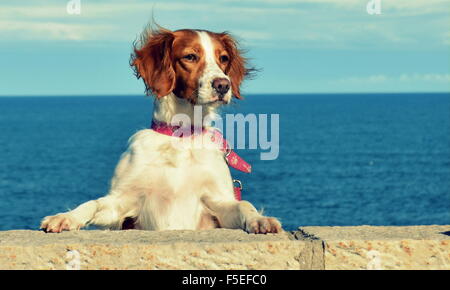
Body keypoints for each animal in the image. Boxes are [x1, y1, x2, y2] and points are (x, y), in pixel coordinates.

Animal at [41, 26, 282, 234]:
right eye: (190, 57)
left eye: (223, 58)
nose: (223, 85)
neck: (181, 138)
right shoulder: (121, 201)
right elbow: (93, 203)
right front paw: (66, 217)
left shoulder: (218, 201)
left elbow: (244, 204)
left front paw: (260, 219)